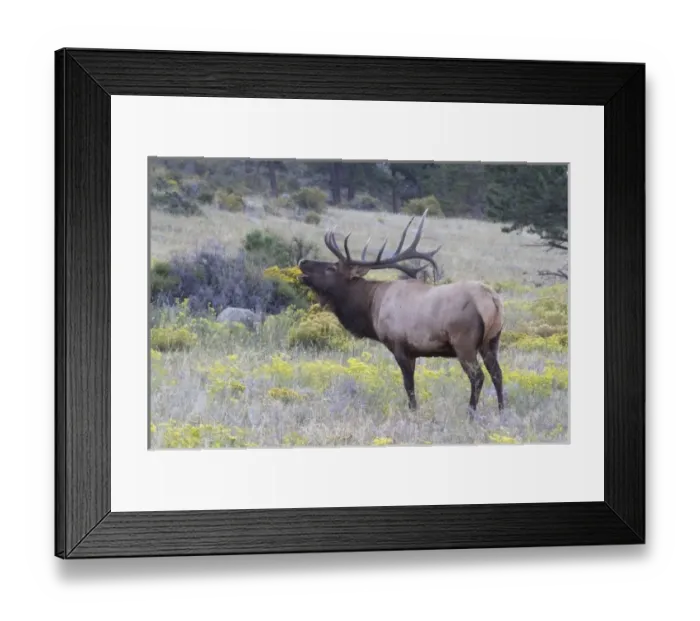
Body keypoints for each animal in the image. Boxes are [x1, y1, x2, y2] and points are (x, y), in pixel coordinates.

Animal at [297, 209, 505, 415]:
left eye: (331, 268)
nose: (303, 261)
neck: (371, 307)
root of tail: (491, 300)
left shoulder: (400, 346)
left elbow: (408, 385)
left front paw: (413, 411)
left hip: (464, 342)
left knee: (477, 376)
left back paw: (471, 413)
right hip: (492, 341)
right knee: (497, 374)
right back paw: (502, 411)